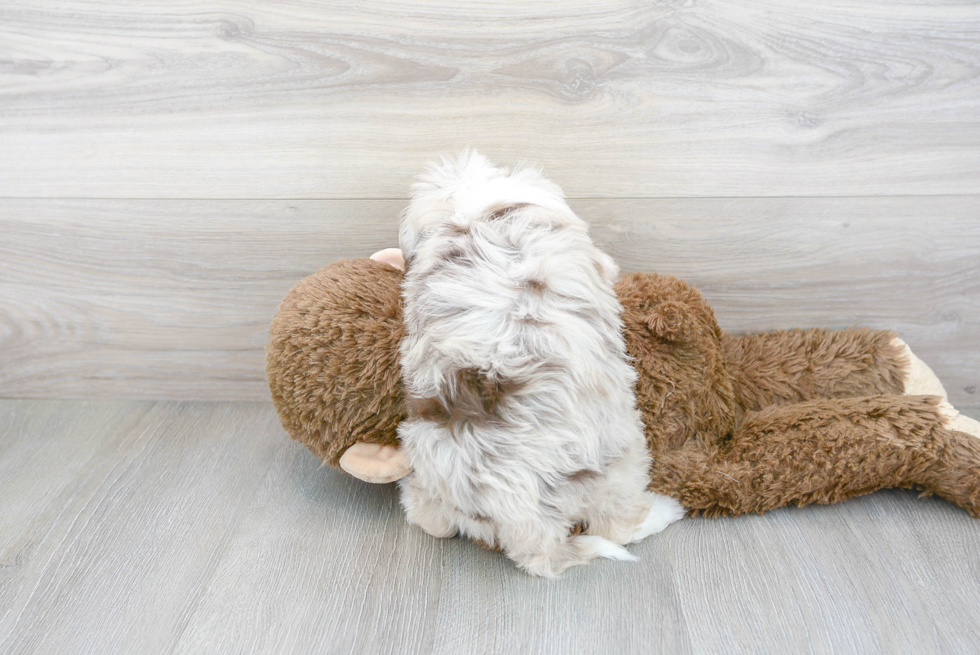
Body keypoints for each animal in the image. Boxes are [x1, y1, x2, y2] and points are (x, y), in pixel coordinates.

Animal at [394, 151, 684, 576]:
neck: (478, 212)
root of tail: (523, 517)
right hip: (621, 461)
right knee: (618, 528)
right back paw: (666, 511)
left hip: (429, 462)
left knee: (436, 522)